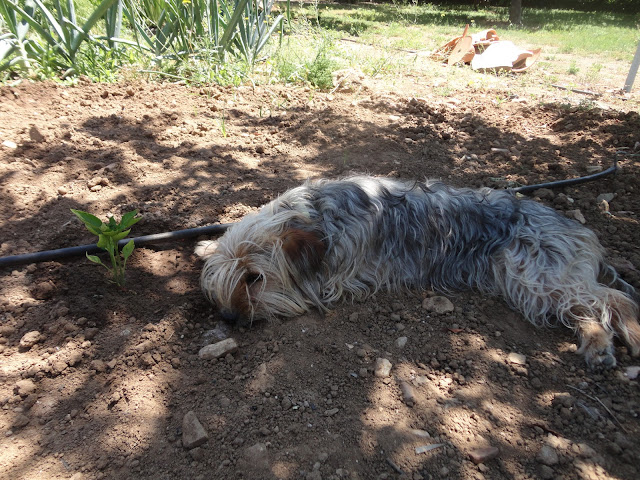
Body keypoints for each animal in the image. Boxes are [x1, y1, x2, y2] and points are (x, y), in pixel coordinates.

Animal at [195, 176, 640, 368]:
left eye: (255, 278)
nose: (228, 317)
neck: (315, 218)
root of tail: (577, 229)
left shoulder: (337, 275)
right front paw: (205, 245)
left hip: (536, 274)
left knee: (610, 299)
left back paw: (617, 338)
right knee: (588, 305)